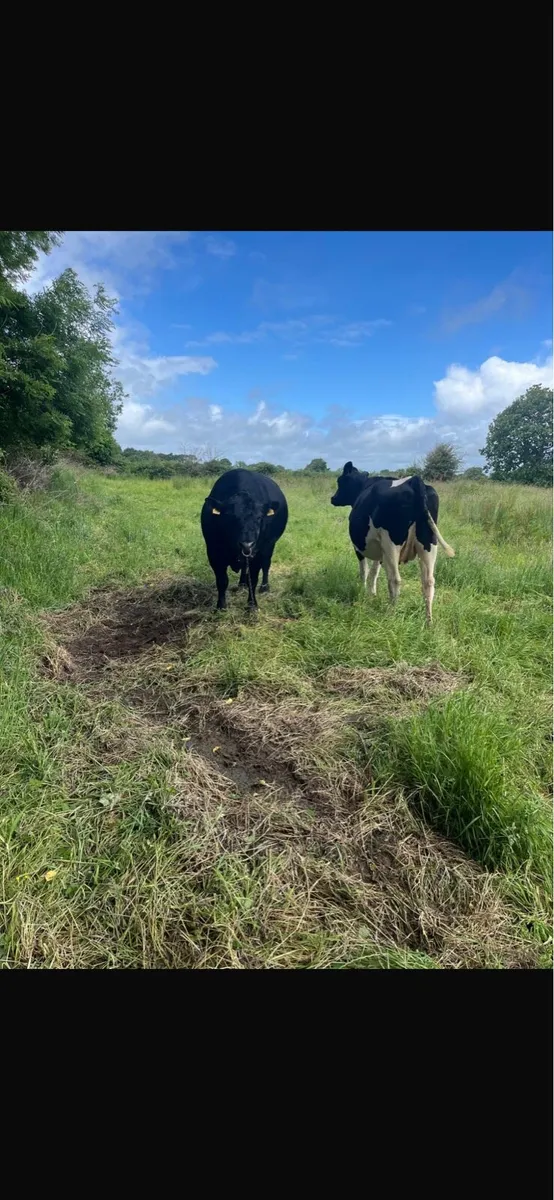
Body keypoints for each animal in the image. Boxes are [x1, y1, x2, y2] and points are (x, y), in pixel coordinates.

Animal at [201, 468, 288, 610]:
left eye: (259, 517)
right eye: (230, 516)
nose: (247, 544)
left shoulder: (257, 552)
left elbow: (253, 579)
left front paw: (252, 605)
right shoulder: (214, 552)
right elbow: (222, 580)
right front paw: (221, 606)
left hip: (269, 546)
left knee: (266, 564)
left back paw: (264, 587)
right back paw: (242, 583)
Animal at [330, 462, 455, 623]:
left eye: (340, 481)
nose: (333, 498)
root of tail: (414, 481)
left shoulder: (359, 547)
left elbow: (364, 571)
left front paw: (363, 591)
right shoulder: (381, 550)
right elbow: (374, 571)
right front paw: (372, 594)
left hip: (391, 543)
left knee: (395, 579)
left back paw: (391, 614)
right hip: (429, 542)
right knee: (428, 581)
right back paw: (429, 621)